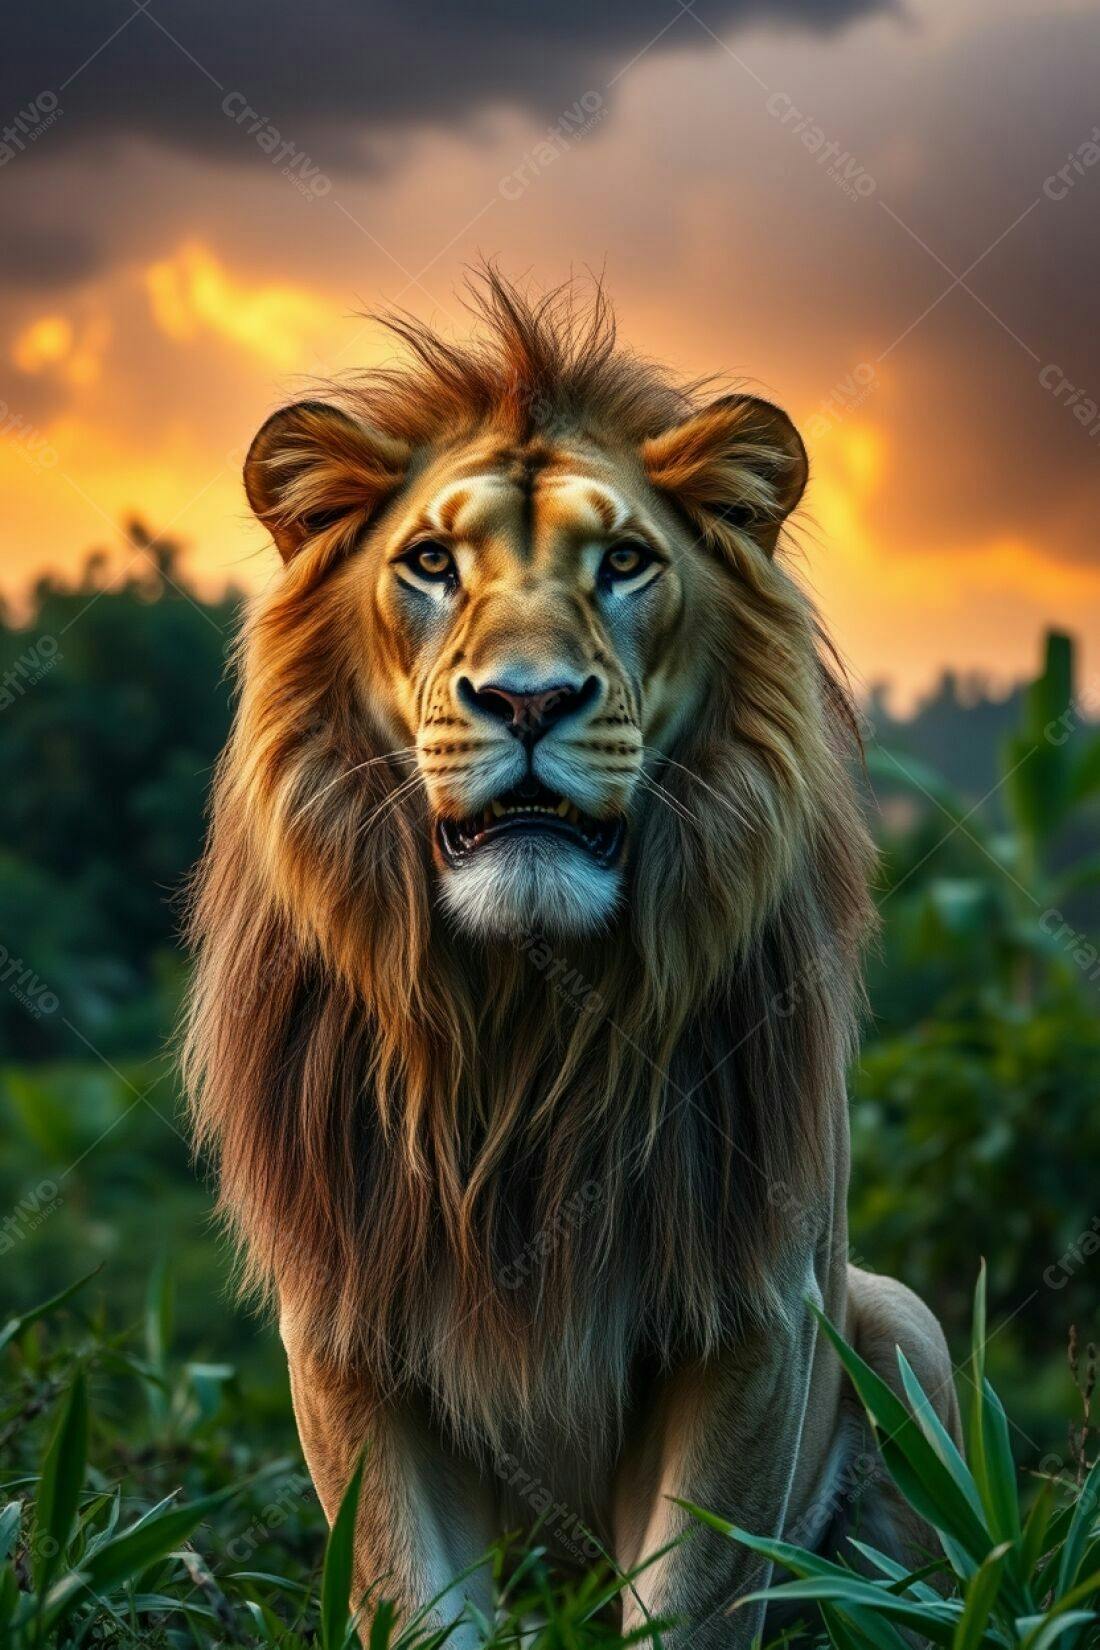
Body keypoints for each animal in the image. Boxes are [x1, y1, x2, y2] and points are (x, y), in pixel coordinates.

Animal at [185, 272, 959, 1646]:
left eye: (625, 563)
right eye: (430, 563)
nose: (529, 700)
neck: (523, 1021)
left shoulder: (755, 1317)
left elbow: (691, 1598)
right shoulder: (348, 1335)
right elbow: (413, 1598)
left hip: (899, 1324)